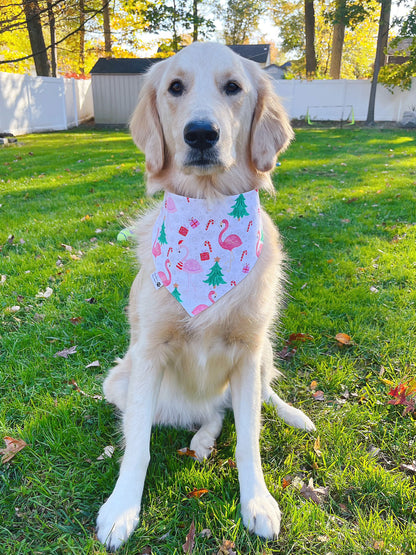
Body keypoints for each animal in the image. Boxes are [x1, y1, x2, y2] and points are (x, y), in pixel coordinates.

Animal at [96, 43, 314, 552]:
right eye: (175, 87)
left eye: (233, 87)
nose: (200, 134)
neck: (211, 211)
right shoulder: (148, 353)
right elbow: (137, 446)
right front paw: (121, 509)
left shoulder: (248, 352)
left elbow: (249, 439)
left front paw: (258, 503)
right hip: (120, 380)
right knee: (209, 415)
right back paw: (200, 439)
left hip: (264, 352)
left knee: (256, 400)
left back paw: (289, 416)